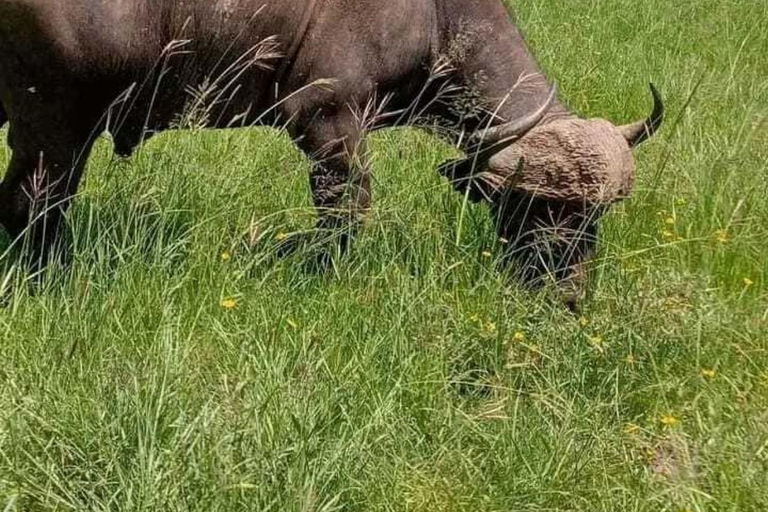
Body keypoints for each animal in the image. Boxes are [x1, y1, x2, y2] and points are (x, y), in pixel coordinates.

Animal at [0, 0, 660, 304]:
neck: (436, 16)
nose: (567, 297)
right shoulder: (327, 120)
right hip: (53, 122)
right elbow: (346, 209)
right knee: (31, 203)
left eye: (594, 217)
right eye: (534, 207)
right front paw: (303, 262)